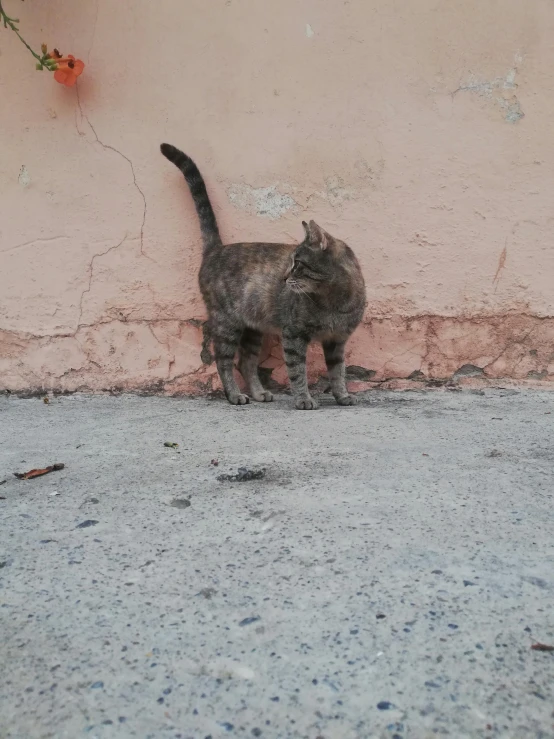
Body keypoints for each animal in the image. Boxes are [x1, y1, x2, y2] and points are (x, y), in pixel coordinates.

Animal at [161, 145, 366, 410]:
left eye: (297, 264)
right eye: (290, 262)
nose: (284, 278)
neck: (333, 300)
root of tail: (216, 249)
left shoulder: (337, 341)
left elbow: (338, 372)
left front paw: (342, 395)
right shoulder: (293, 335)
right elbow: (297, 372)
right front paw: (303, 399)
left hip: (253, 329)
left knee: (245, 362)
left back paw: (259, 393)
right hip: (227, 323)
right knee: (224, 361)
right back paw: (234, 395)